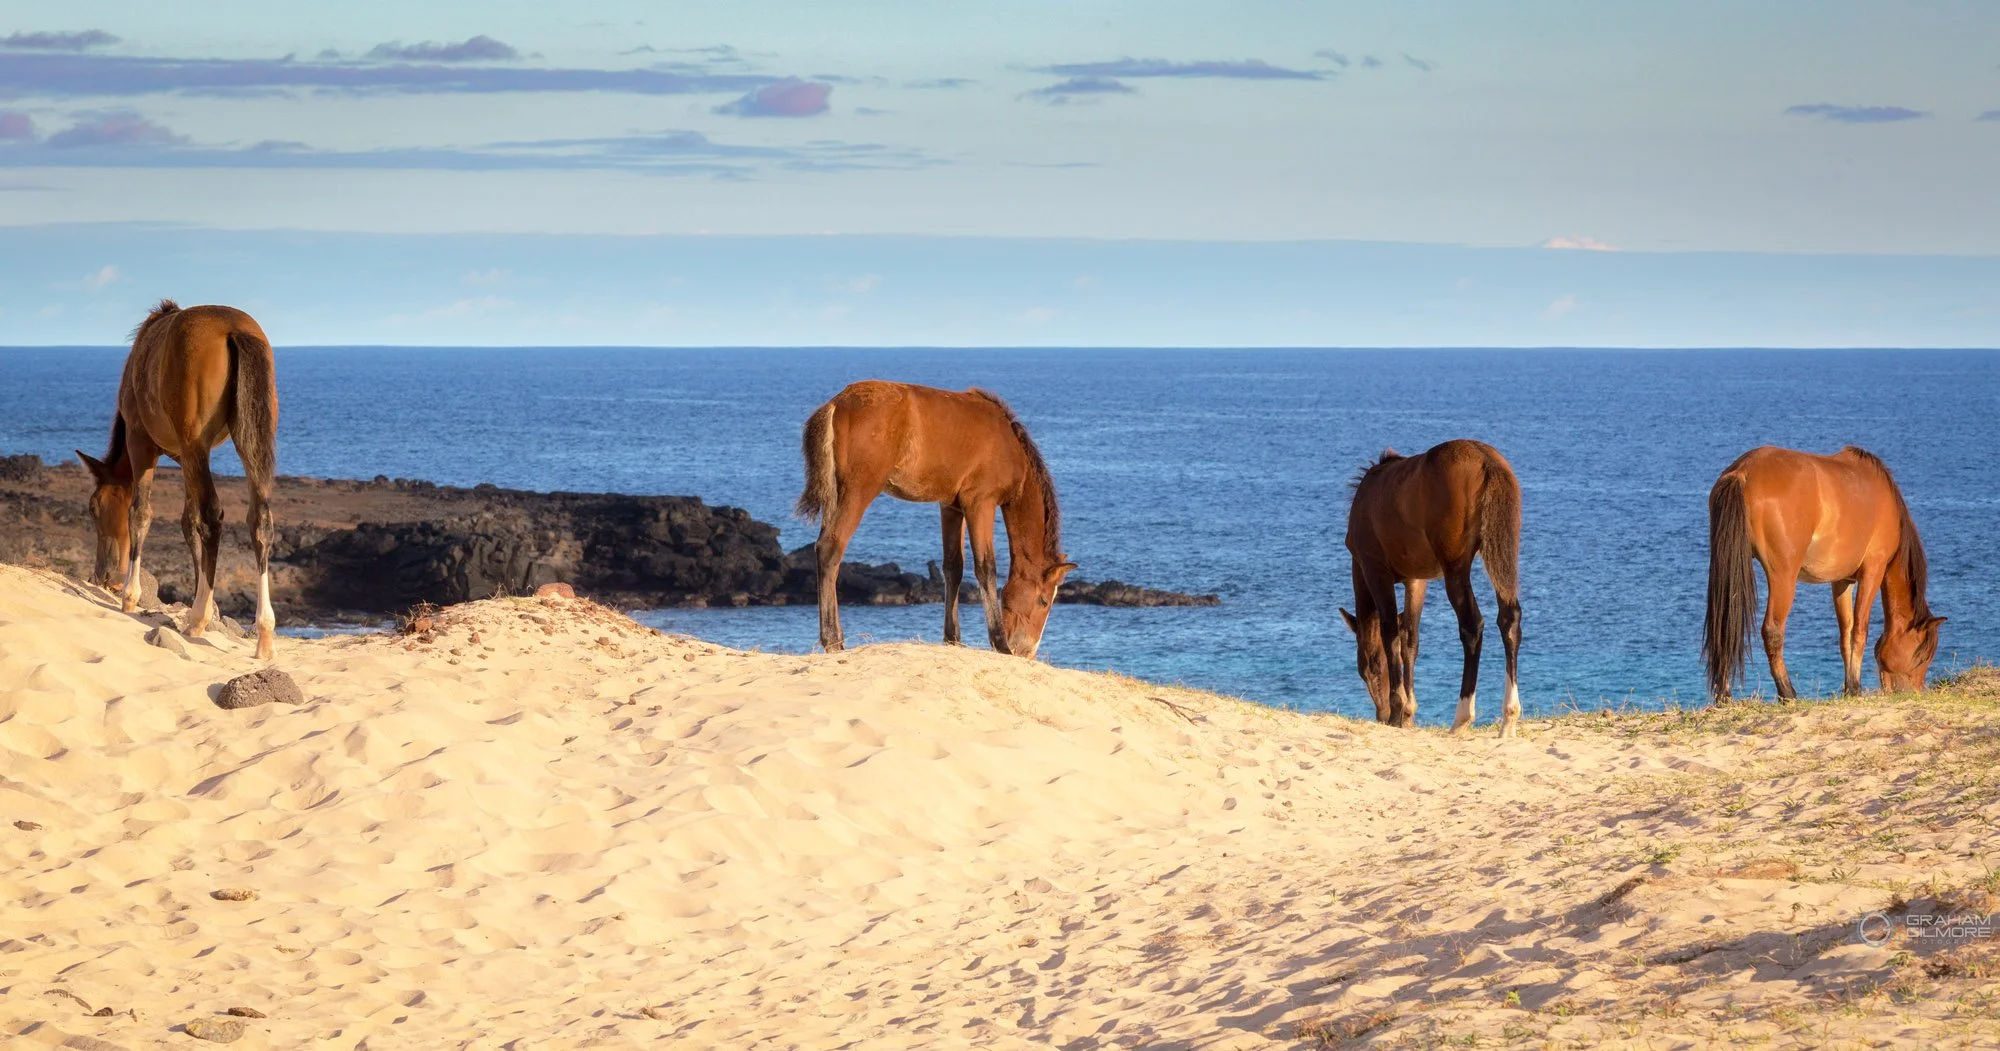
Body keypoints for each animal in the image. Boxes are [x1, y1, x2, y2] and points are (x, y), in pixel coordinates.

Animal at [76, 299, 280, 660]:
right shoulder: (185, 457)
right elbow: (188, 522)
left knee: (212, 517)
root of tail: (234, 329)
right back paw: (263, 635)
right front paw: (207, 603)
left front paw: (130, 595)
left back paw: (196, 620)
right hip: (247, 440)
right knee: (259, 520)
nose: (104, 576)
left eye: (93, 508)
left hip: (194, 443)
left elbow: (141, 513)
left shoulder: (142, 444)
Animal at [796, 381, 1076, 659]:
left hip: (836, 496)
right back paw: (833, 640)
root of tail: (837, 403)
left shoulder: (951, 507)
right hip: (859, 491)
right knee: (831, 548)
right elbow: (986, 568)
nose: (1027, 651)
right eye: (1043, 600)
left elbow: (954, 567)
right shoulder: (980, 504)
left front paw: (953, 638)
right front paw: (1000, 643)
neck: (1008, 446)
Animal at [1339, 440, 1523, 736]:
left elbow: (1391, 635)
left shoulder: (1376, 572)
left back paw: (1461, 718)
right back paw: (1508, 719)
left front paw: (1398, 711)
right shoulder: (1416, 580)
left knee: (1472, 625)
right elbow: (1410, 640)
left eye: (1372, 668)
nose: (1381, 715)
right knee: (1509, 619)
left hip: (1455, 568)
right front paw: (1408, 712)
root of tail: (1487, 461)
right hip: (1499, 555)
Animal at [1703, 446, 1943, 702]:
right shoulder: (1873, 571)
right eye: (1922, 657)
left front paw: (1850, 687)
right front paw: (1855, 688)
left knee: (1725, 627)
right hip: (1783, 577)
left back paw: (1724, 695)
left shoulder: (1842, 581)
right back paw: (1787, 693)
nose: (1912, 693)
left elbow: (1846, 633)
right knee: (1773, 631)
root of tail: (1742, 472)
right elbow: (1860, 630)